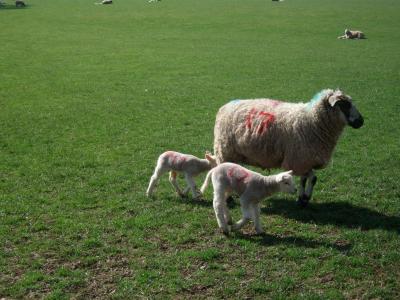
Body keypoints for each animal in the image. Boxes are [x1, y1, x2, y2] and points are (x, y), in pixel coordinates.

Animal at [214, 88, 364, 207]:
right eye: (344, 104)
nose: (361, 121)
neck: (313, 120)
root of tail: (225, 106)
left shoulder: (305, 160)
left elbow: (308, 179)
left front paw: (302, 199)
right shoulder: (299, 160)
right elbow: (311, 178)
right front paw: (305, 197)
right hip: (226, 151)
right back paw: (228, 199)